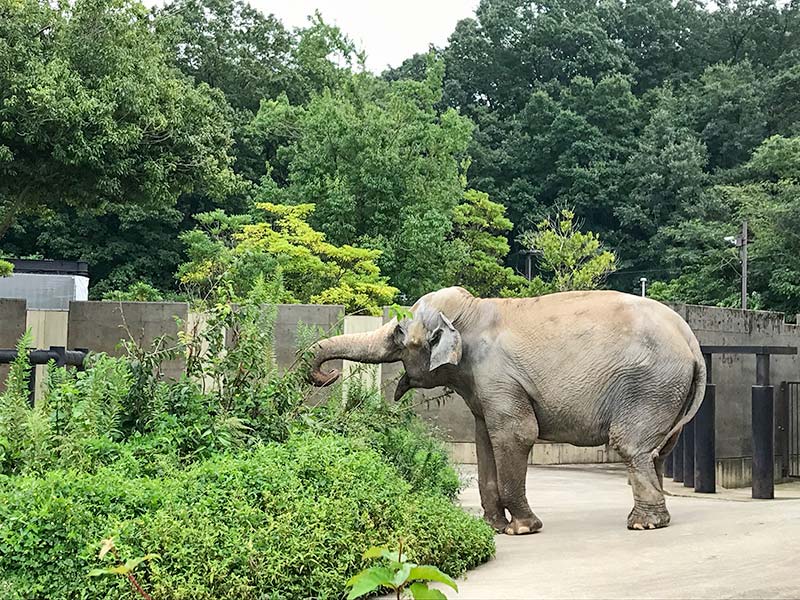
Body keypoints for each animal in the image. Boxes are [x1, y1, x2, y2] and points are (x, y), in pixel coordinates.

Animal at [306, 286, 708, 536]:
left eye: (398, 334)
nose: (328, 375)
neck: (472, 310)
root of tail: (692, 341)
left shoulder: (498, 376)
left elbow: (516, 434)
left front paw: (523, 528)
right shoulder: (483, 388)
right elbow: (485, 437)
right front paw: (494, 527)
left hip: (649, 385)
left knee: (631, 446)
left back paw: (643, 525)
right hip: (665, 392)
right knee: (657, 451)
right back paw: (656, 518)